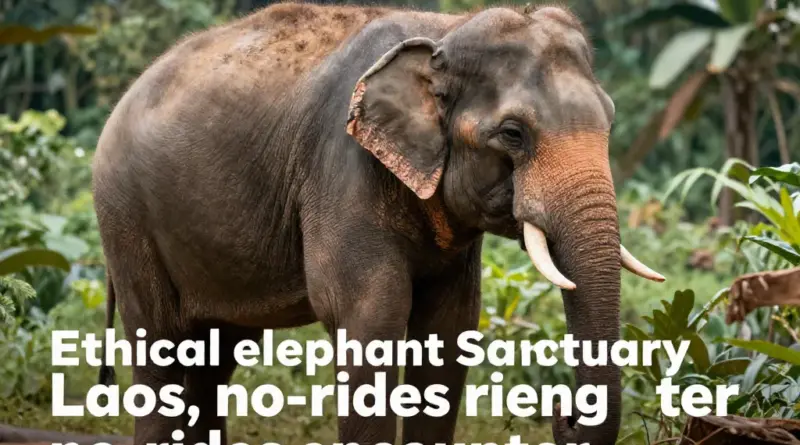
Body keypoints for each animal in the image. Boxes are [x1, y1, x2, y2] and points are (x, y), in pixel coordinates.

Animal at [7, 3, 666, 445]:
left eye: (609, 120)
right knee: (162, 345)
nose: (562, 415)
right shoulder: (341, 168)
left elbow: (449, 327)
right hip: (124, 214)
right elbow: (369, 311)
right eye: (513, 134)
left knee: (211, 357)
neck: (446, 27)